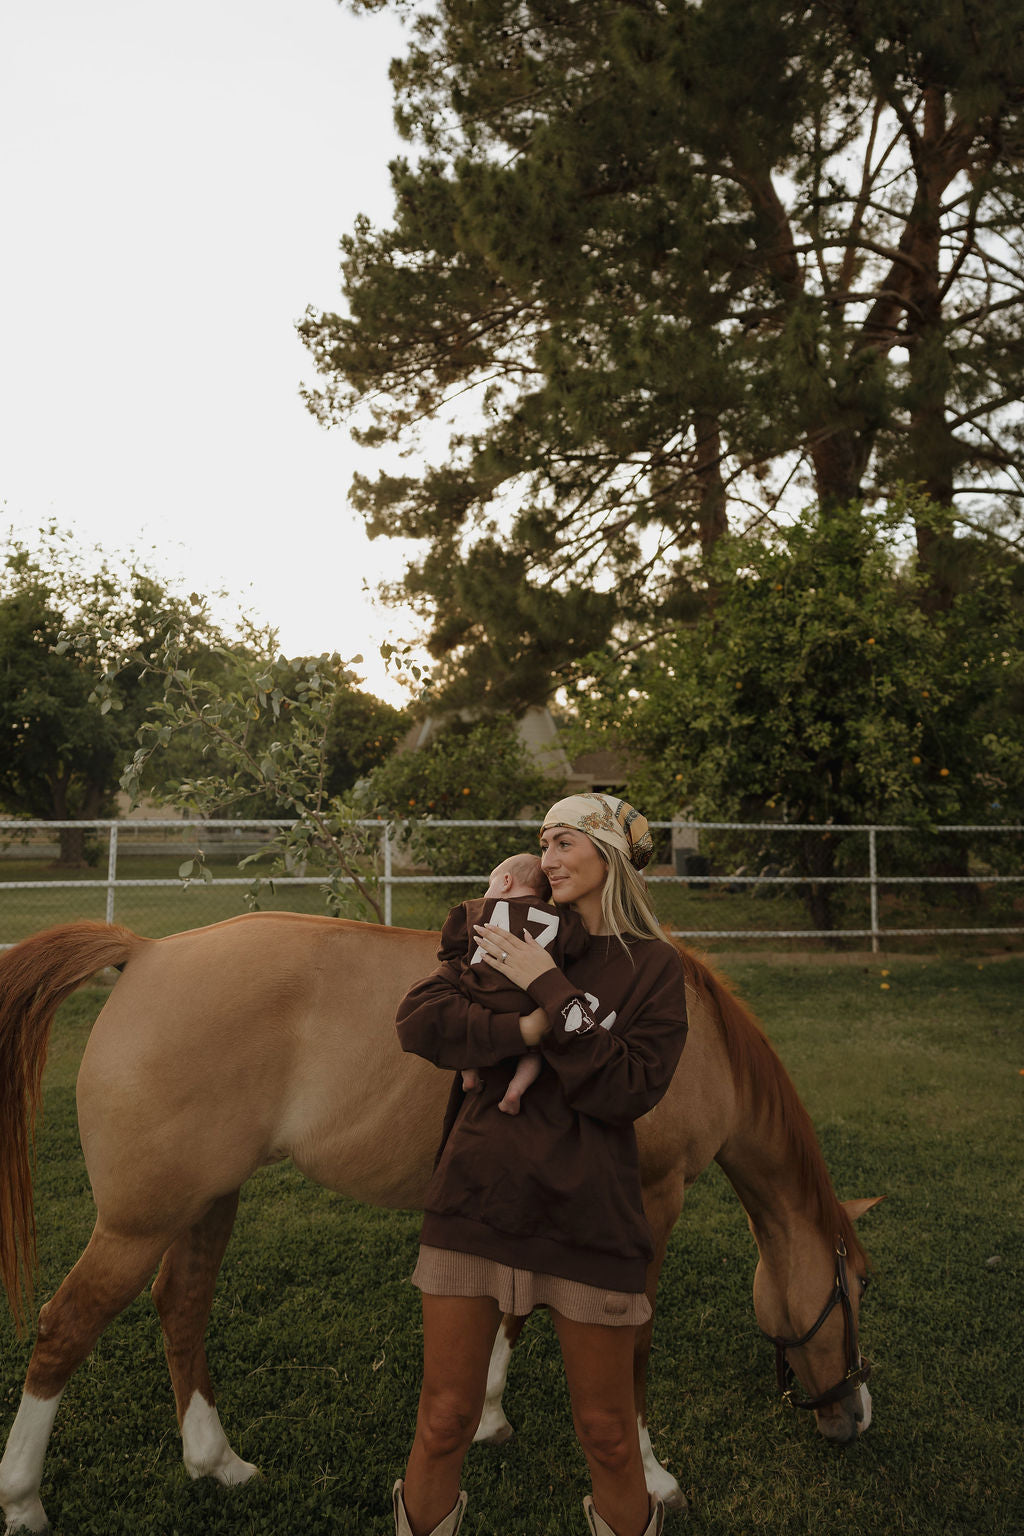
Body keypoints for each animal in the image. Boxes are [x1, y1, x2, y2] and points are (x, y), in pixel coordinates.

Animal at [0, 912, 877, 1534]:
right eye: (861, 1285)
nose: (856, 1417)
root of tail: (145, 953)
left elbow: (517, 1313)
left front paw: (487, 1414)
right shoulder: (650, 1203)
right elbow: (633, 1345)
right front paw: (654, 1476)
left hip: (206, 1203)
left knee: (180, 1306)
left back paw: (218, 1464)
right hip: (139, 1222)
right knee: (64, 1325)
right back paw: (23, 1500)